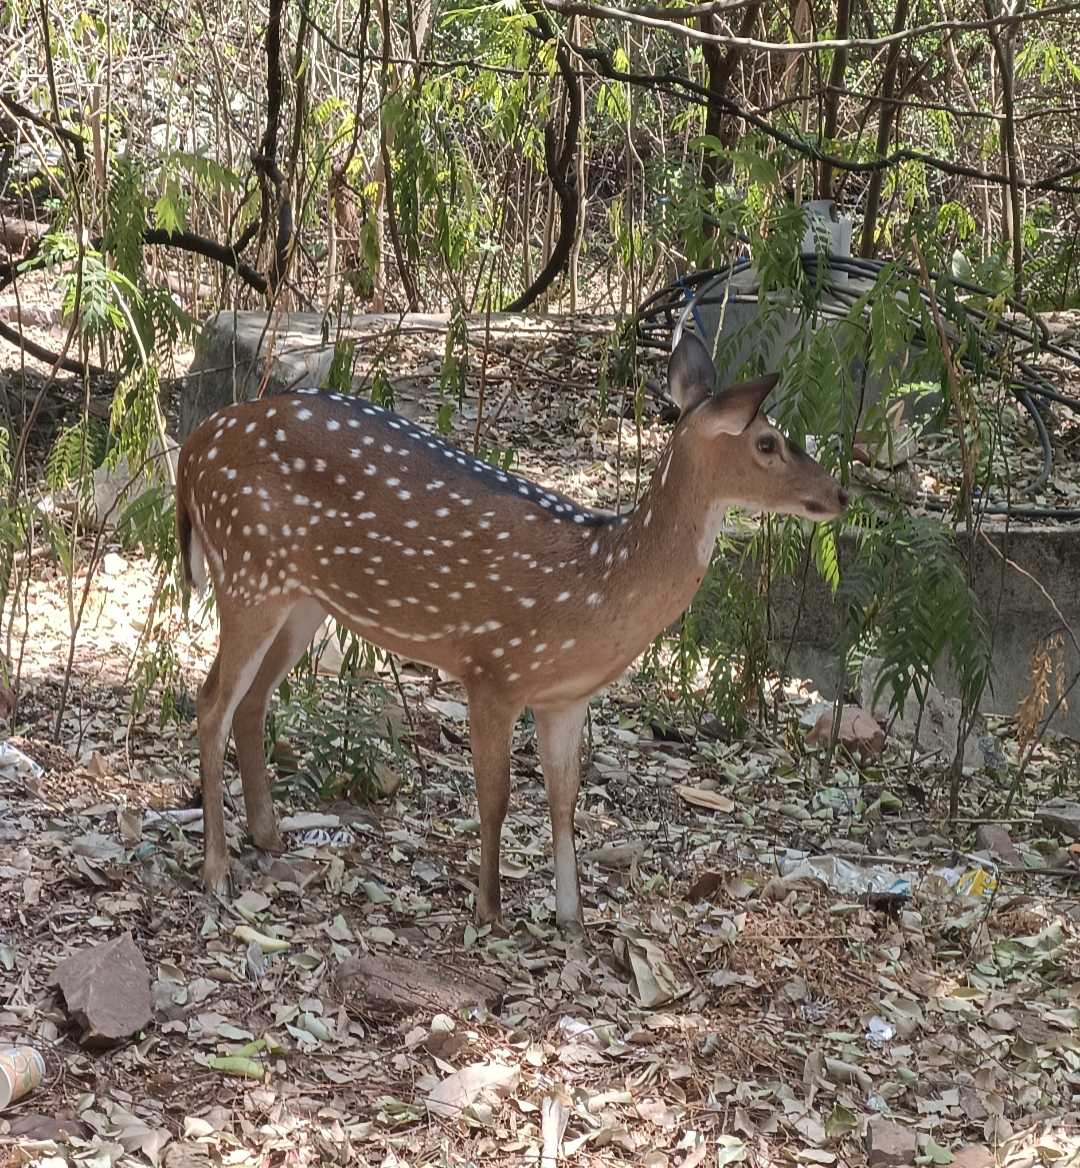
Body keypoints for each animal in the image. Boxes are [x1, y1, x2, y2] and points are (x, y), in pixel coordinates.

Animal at [175, 331, 847, 933]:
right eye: (768, 442)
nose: (839, 493)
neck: (595, 585)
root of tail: (194, 447)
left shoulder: (565, 698)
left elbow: (563, 802)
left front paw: (574, 922)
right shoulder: (492, 668)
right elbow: (495, 796)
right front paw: (489, 910)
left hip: (302, 600)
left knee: (252, 701)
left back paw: (268, 837)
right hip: (247, 571)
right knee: (210, 702)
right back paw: (216, 870)